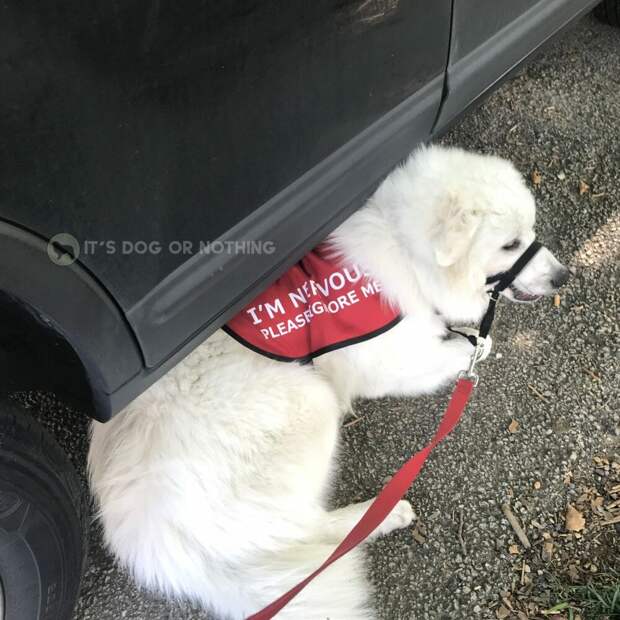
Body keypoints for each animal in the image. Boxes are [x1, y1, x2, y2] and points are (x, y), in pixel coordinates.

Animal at [89, 147, 568, 620]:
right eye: (510, 244)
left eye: (529, 231)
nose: (563, 276)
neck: (403, 246)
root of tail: (151, 537)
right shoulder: (390, 364)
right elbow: (472, 348)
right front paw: (474, 344)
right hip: (310, 399)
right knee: (310, 529)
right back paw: (384, 513)